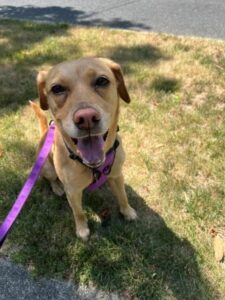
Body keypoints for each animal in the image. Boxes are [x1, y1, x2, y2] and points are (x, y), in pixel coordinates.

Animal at [31, 57, 137, 240]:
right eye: (57, 88)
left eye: (102, 81)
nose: (86, 118)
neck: (93, 166)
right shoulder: (72, 192)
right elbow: (79, 213)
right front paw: (82, 230)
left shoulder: (117, 175)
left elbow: (123, 196)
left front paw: (127, 211)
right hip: (47, 169)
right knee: (51, 179)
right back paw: (57, 187)